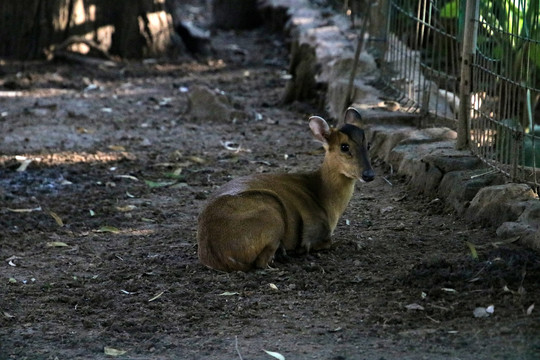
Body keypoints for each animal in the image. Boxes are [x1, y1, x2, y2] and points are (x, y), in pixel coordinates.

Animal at [197, 108, 376, 272]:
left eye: (368, 144)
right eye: (344, 147)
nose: (369, 174)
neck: (324, 197)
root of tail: (218, 256)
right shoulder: (314, 233)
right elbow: (328, 242)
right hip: (270, 214)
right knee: (262, 262)